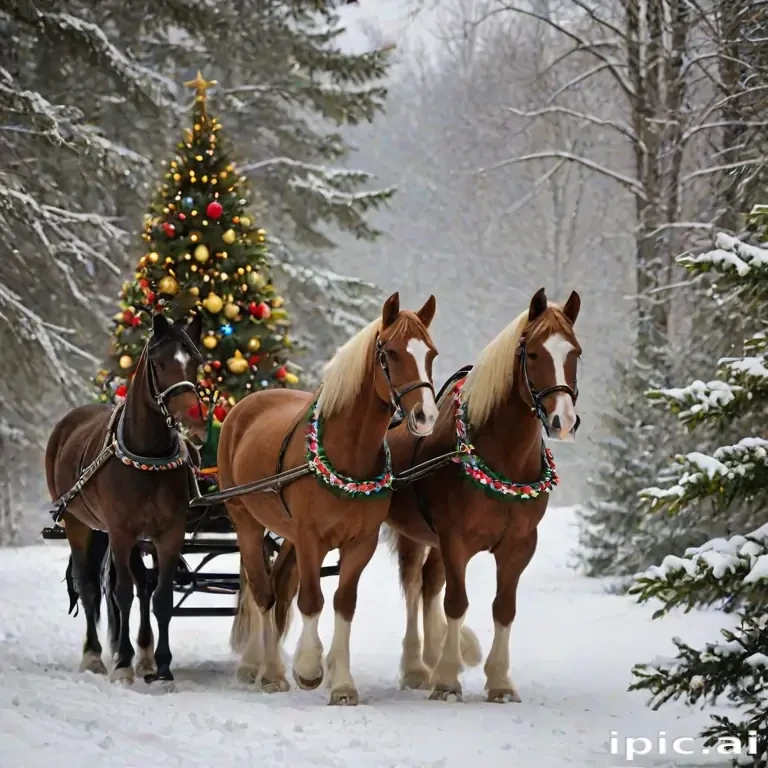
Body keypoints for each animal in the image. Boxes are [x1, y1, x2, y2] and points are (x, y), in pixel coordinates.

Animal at [45, 311, 205, 684]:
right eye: (159, 363)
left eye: (196, 362)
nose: (193, 417)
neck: (147, 456)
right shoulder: (119, 531)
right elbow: (121, 593)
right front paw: (122, 665)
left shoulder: (169, 532)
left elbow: (161, 597)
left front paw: (162, 665)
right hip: (79, 523)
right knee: (91, 588)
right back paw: (95, 656)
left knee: (143, 586)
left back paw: (143, 655)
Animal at [217, 292, 440, 705]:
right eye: (390, 353)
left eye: (429, 353)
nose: (425, 416)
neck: (347, 454)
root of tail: (243, 406)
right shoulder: (311, 539)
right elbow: (311, 600)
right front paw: (308, 668)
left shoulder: (360, 543)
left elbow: (343, 603)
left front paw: (342, 684)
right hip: (246, 521)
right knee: (263, 592)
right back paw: (268, 670)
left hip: (286, 534)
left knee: (279, 585)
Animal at [385, 287, 582, 702]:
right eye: (534, 353)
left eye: (575, 352)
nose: (564, 422)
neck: (501, 457)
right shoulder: (456, 540)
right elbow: (456, 603)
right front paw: (447, 680)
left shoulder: (519, 544)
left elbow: (503, 608)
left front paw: (499, 681)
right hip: (413, 535)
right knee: (414, 586)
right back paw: (417, 668)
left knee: (429, 585)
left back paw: (434, 657)